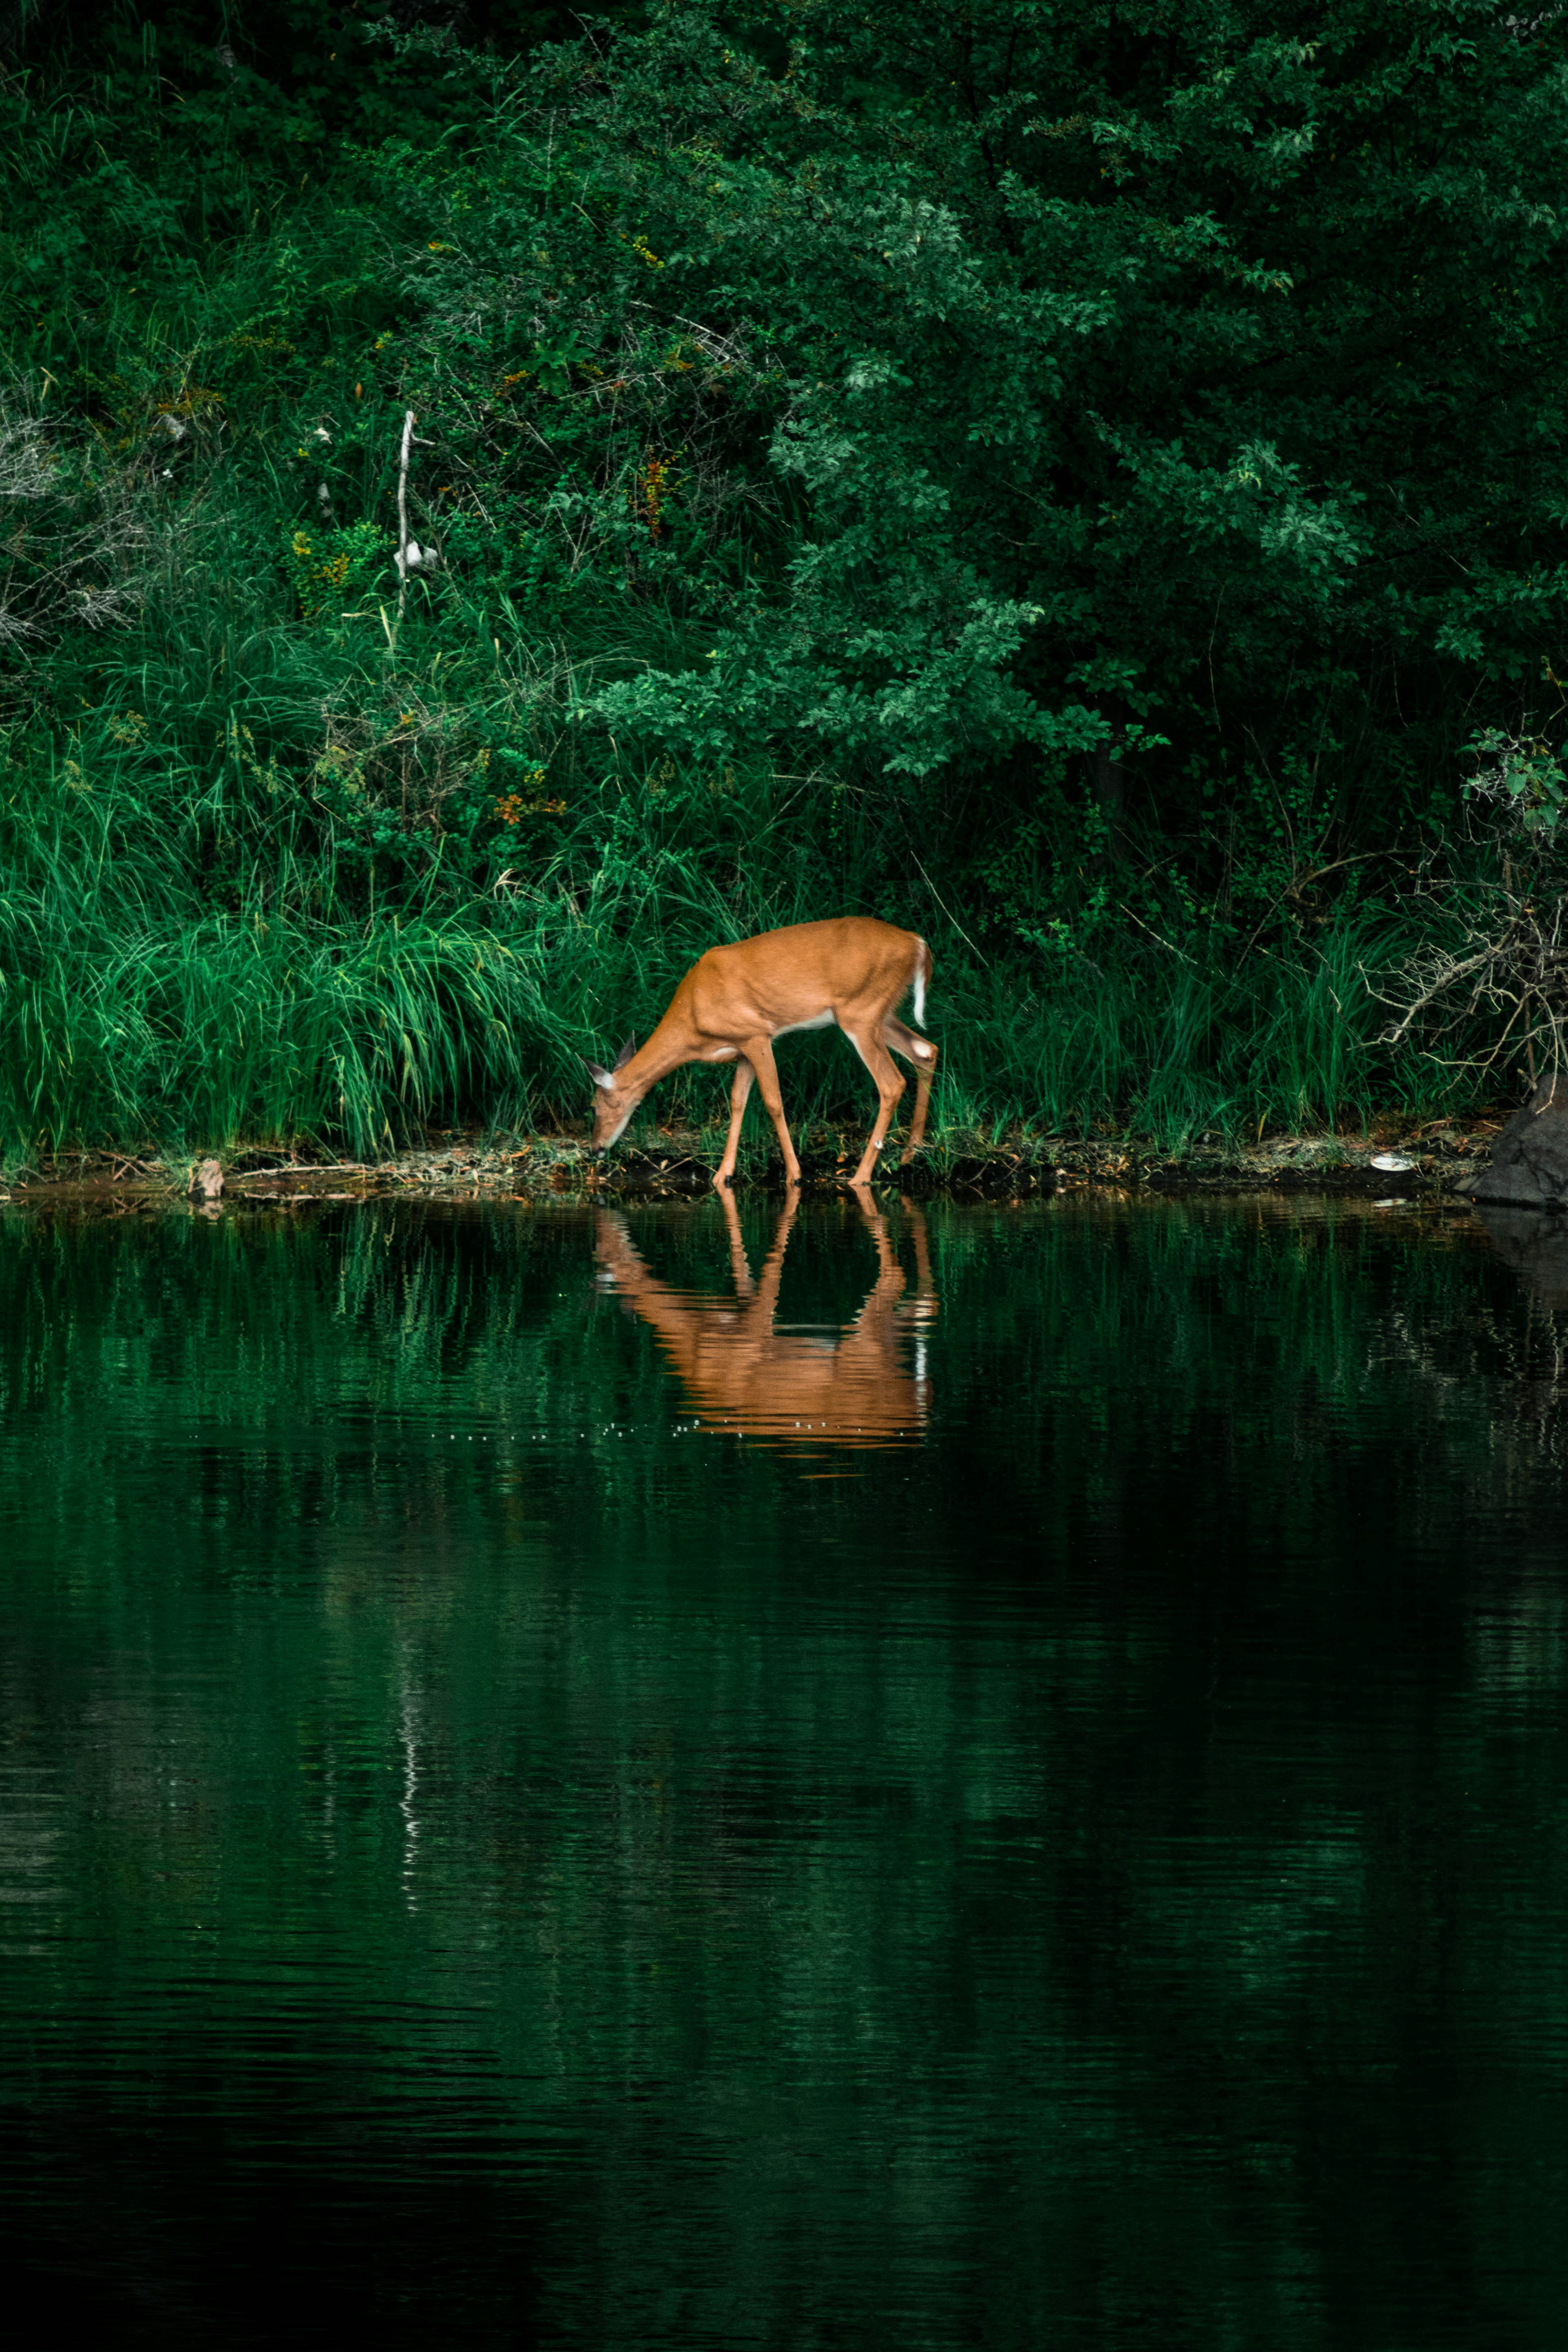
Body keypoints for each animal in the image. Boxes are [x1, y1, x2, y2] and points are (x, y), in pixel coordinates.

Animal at [583, 916, 938, 1189]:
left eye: (593, 1107)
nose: (595, 1150)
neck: (693, 1021)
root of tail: (918, 944)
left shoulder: (756, 1034)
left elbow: (772, 1102)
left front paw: (794, 1175)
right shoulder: (742, 1049)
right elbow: (738, 1101)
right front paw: (722, 1175)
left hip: (860, 1012)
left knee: (891, 1082)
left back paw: (861, 1176)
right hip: (880, 1013)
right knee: (925, 1050)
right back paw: (911, 1153)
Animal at [594, 1191, 936, 1447]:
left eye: (605, 1253)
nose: (605, 1230)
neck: (695, 1338)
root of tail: (917, 1410)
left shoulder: (752, 1330)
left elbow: (770, 1273)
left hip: (862, 1348)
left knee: (896, 1279)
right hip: (885, 1345)